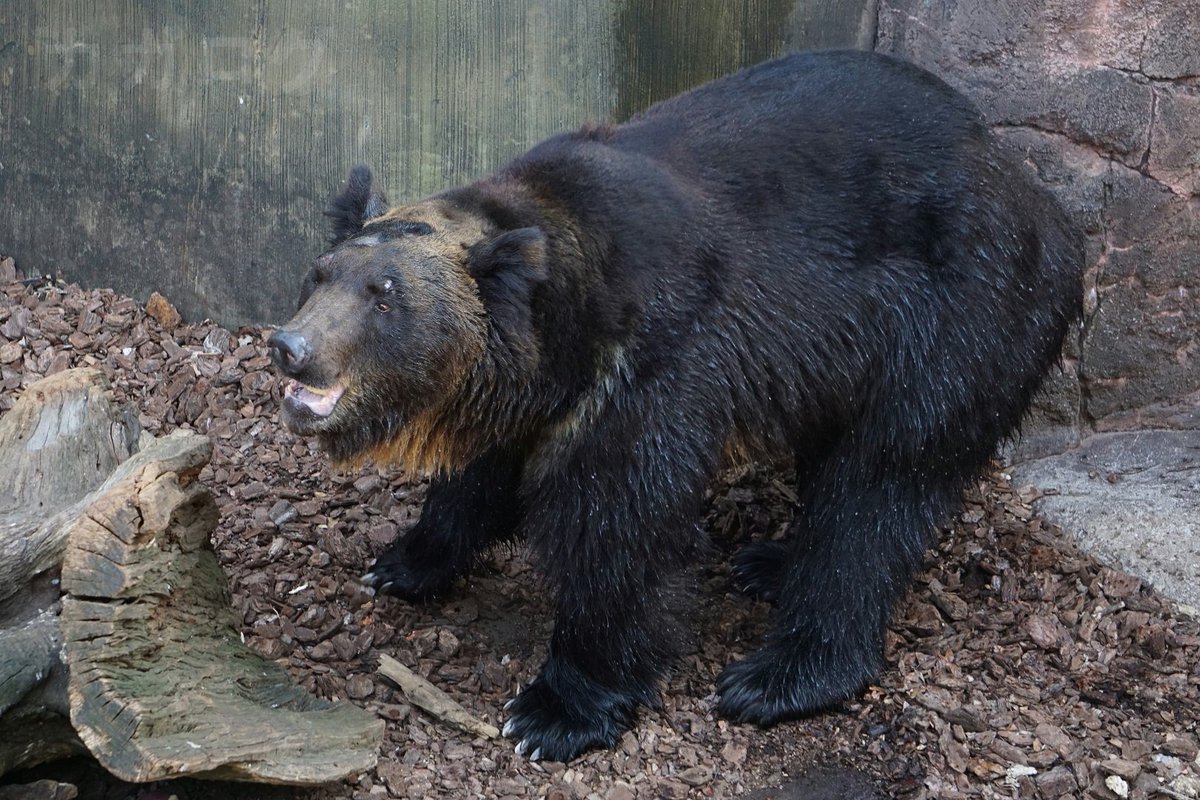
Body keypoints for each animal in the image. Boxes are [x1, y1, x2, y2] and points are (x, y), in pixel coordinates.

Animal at [270, 50, 1089, 762]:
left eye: (384, 296)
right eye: (321, 273)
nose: (290, 346)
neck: (567, 326)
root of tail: (1037, 194)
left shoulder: (655, 366)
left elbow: (621, 527)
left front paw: (554, 711)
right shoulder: (532, 398)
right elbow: (480, 477)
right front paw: (405, 561)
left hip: (960, 316)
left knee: (878, 487)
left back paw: (781, 673)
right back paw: (769, 561)